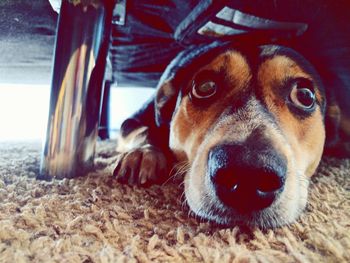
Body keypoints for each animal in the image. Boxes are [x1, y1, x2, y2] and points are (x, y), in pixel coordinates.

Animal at [112, 41, 350, 229]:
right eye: (205, 86)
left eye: (304, 95)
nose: (248, 173)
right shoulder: (133, 120)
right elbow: (143, 130)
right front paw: (144, 154)